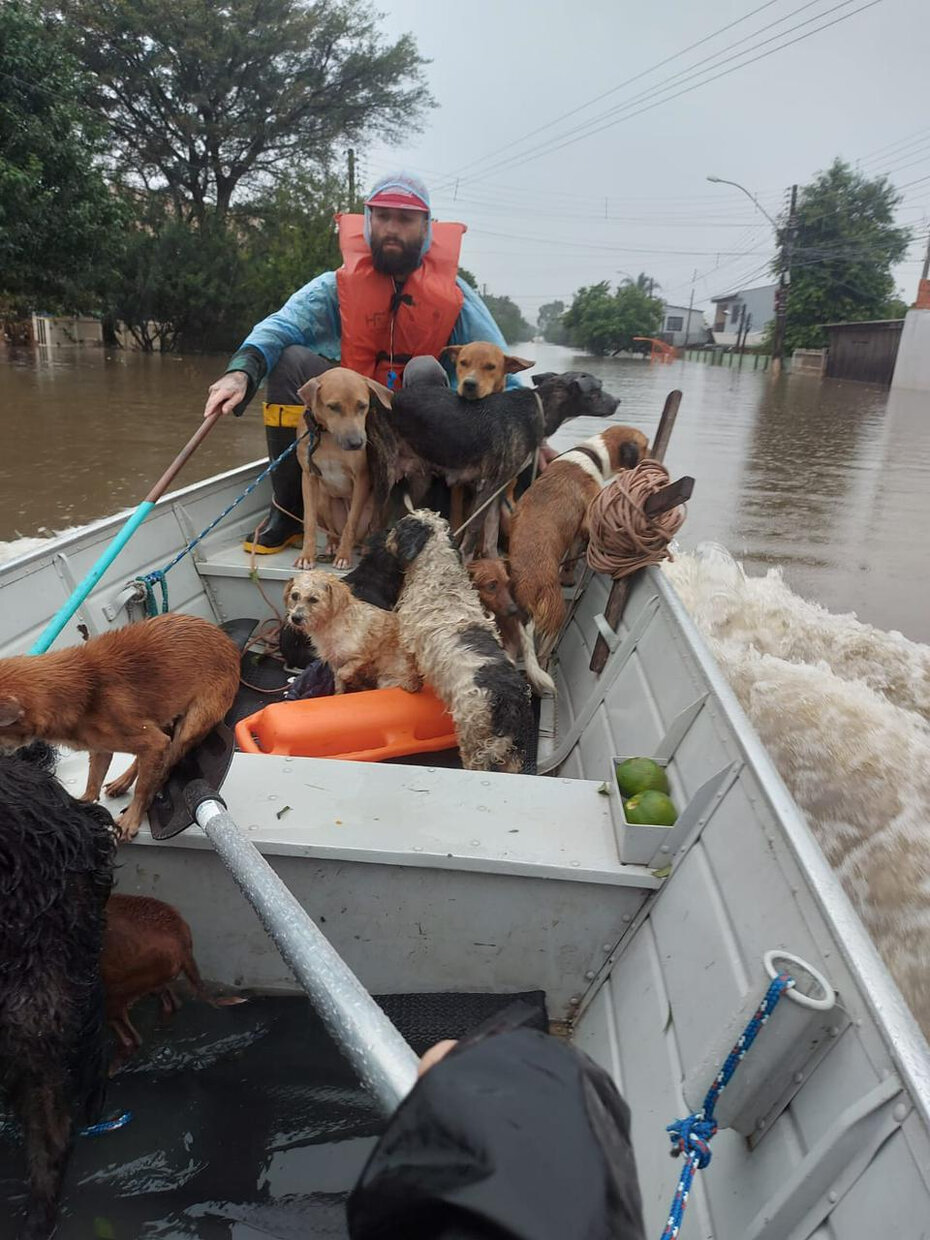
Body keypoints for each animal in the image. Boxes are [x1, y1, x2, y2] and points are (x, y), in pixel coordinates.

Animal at [0, 612, 244, 838]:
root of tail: (227, 641)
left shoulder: (151, 741)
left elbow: (144, 787)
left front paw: (131, 819)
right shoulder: (101, 749)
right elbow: (93, 781)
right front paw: (83, 806)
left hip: (191, 724)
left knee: (166, 764)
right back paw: (122, 781)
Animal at [280, 570, 419, 699]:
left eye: (313, 599)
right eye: (294, 596)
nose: (295, 618)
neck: (330, 625)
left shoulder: (362, 656)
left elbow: (343, 673)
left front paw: (354, 680)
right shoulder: (335, 661)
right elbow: (338, 684)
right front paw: (339, 694)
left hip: (387, 680)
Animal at [292, 362, 391, 567]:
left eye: (362, 406)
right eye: (333, 407)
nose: (356, 443)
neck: (329, 437)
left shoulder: (361, 478)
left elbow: (350, 523)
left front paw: (344, 556)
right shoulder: (309, 477)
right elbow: (309, 521)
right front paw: (307, 555)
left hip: (379, 505)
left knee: (368, 529)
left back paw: (364, 547)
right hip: (323, 501)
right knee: (332, 532)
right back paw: (332, 545)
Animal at [510, 421, 649, 669]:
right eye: (646, 445)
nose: (652, 458)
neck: (592, 455)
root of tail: (527, 588)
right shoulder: (585, 522)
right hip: (554, 619)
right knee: (543, 652)